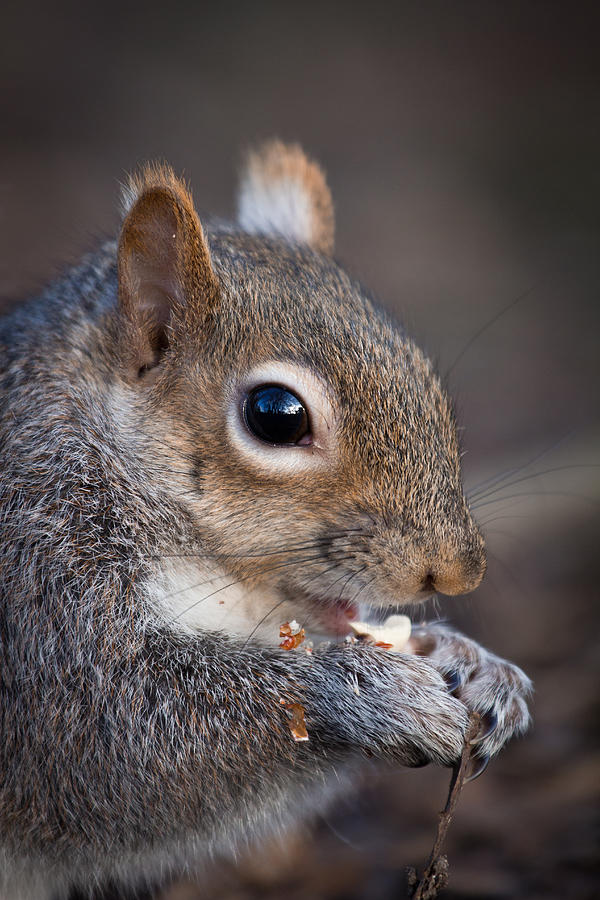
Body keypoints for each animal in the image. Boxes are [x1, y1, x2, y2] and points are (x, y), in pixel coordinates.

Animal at [0, 141, 532, 900]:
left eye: (424, 373)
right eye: (275, 416)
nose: (458, 572)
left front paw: (472, 664)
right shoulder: (39, 586)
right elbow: (116, 742)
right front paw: (371, 694)